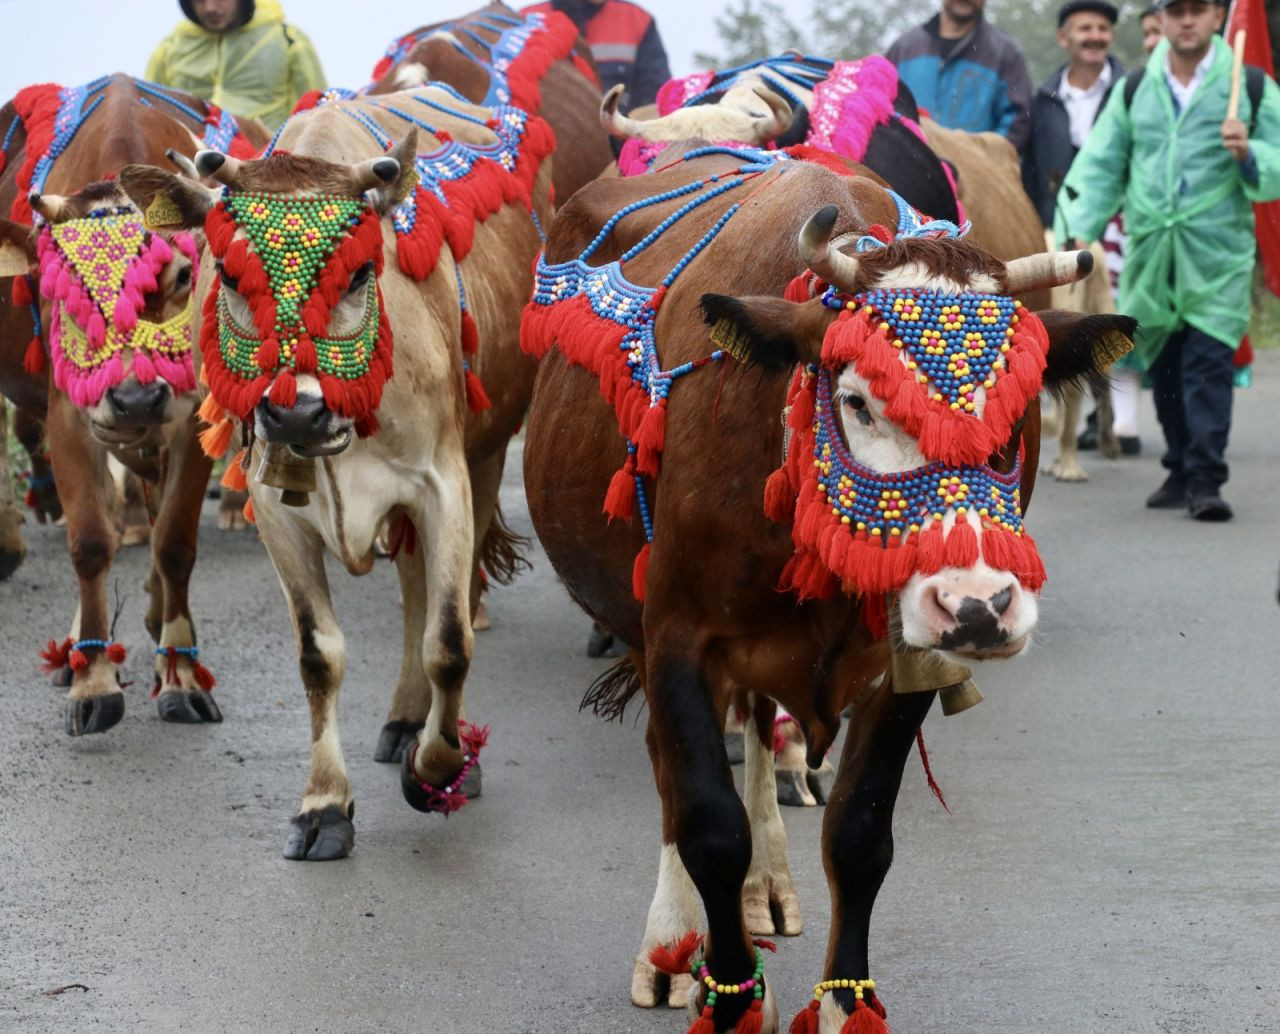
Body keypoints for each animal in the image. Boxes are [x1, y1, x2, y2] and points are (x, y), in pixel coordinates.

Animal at [517, 147, 1131, 1034]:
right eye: (856, 400)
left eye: (1015, 416)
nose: (978, 608)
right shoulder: (678, 638)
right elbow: (707, 824)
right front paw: (730, 995)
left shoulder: (910, 662)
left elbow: (859, 833)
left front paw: (845, 1003)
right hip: (634, 625)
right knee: (671, 773)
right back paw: (671, 946)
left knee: (758, 730)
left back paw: (766, 890)